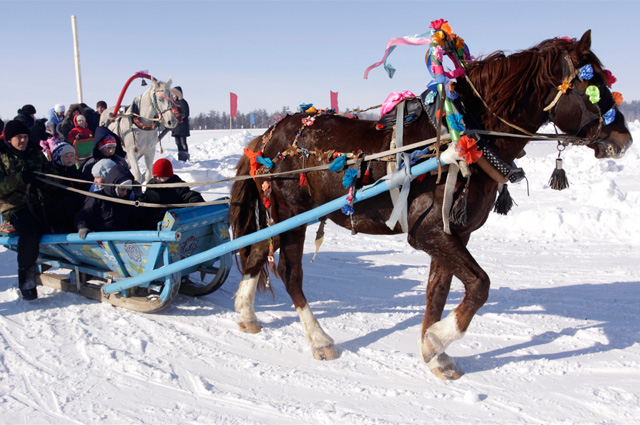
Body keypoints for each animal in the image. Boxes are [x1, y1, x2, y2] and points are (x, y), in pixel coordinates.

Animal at [228, 31, 632, 380]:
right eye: (590, 85)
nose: (624, 141)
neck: (461, 137)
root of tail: (266, 138)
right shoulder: (428, 231)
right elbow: (480, 285)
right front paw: (439, 338)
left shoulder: (454, 233)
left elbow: (438, 291)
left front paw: (435, 352)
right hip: (291, 214)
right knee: (289, 272)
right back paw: (319, 339)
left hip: (280, 215)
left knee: (255, 254)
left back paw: (246, 314)